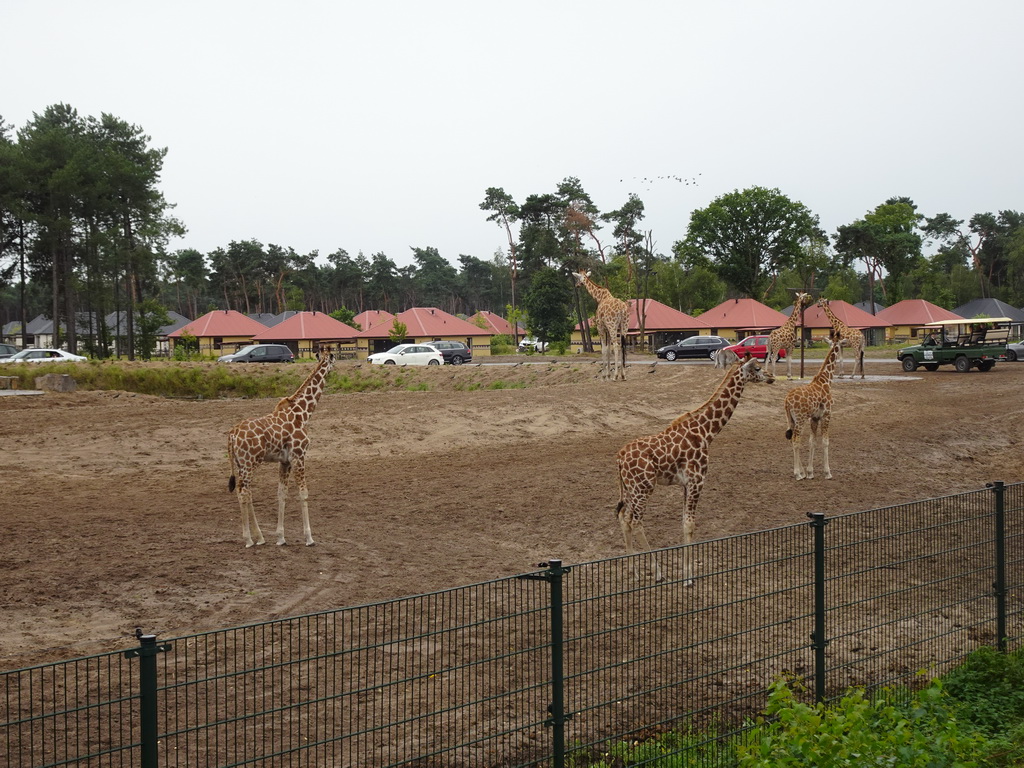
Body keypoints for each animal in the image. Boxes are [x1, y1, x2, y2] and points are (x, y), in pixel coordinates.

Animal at [227, 348, 335, 548]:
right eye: (334, 358)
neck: (303, 413)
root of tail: (231, 434)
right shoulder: (299, 456)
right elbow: (303, 493)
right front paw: (309, 538)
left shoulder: (285, 461)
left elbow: (281, 493)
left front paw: (280, 537)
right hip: (249, 463)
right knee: (244, 491)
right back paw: (249, 539)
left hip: (240, 464)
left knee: (244, 492)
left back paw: (260, 537)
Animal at [610, 354, 770, 581]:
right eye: (757, 368)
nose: (771, 377)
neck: (706, 432)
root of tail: (619, 458)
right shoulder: (697, 480)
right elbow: (690, 524)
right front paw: (688, 576)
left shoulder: (686, 484)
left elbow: (684, 523)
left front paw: (687, 570)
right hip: (644, 488)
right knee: (636, 522)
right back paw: (657, 572)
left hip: (631, 488)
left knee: (624, 518)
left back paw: (634, 571)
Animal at [782, 337, 839, 479]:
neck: (826, 381)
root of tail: (786, 401)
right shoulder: (827, 414)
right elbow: (825, 441)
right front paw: (827, 472)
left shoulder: (814, 418)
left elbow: (812, 441)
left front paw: (810, 472)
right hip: (800, 418)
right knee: (796, 440)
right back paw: (797, 474)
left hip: (791, 419)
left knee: (791, 439)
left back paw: (801, 472)